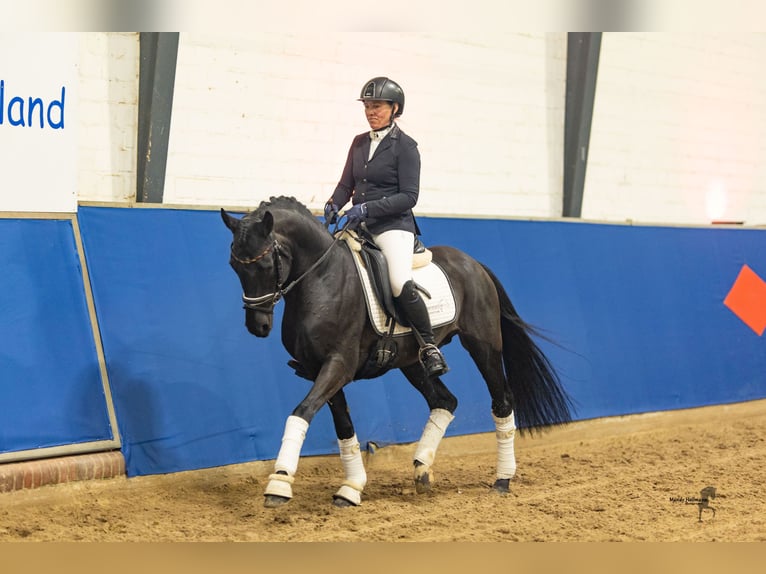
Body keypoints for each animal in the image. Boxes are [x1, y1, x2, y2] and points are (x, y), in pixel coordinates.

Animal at [220, 196, 574, 508]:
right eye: (233, 265)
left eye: (266, 263)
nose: (258, 325)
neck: (322, 279)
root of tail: (473, 264)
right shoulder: (320, 368)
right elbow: (343, 427)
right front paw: (351, 488)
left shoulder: (338, 365)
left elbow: (301, 412)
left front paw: (279, 484)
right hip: (412, 362)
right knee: (445, 401)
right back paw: (422, 470)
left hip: (483, 345)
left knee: (501, 402)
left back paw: (501, 479)